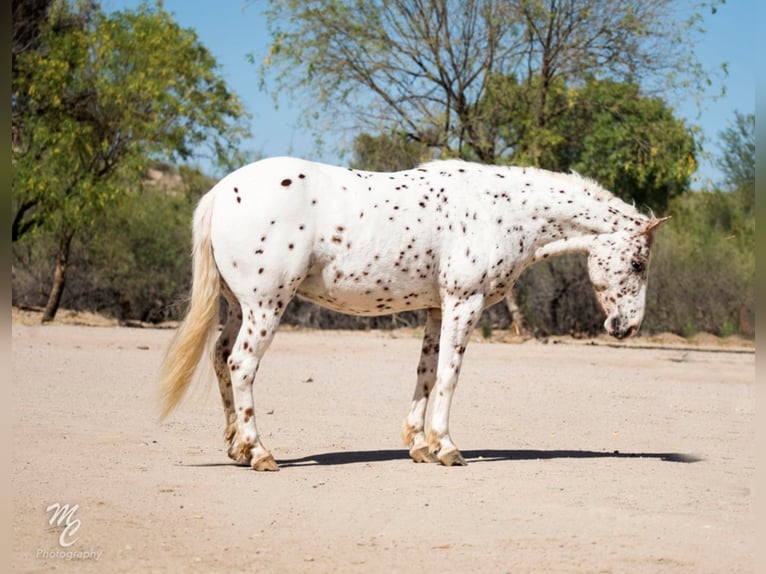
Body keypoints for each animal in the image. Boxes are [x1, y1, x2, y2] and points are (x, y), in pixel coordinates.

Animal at [159, 155, 668, 470]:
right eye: (638, 263)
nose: (627, 327)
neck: (502, 210)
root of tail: (222, 191)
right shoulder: (464, 302)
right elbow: (449, 375)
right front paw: (447, 448)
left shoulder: (437, 310)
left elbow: (425, 374)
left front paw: (420, 445)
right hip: (265, 306)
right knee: (242, 365)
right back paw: (261, 453)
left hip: (236, 307)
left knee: (221, 357)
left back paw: (237, 447)